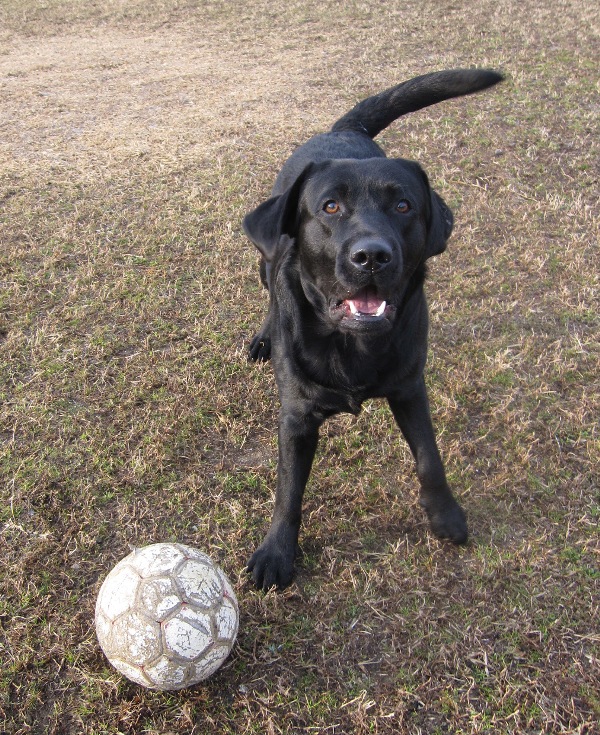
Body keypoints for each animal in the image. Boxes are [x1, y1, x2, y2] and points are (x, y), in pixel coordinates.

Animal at [243, 66, 502, 588]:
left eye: (403, 206)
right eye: (329, 207)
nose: (372, 256)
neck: (350, 344)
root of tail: (345, 130)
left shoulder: (409, 387)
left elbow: (429, 458)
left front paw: (445, 515)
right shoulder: (296, 415)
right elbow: (288, 490)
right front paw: (277, 552)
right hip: (265, 257)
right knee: (269, 289)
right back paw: (264, 336)